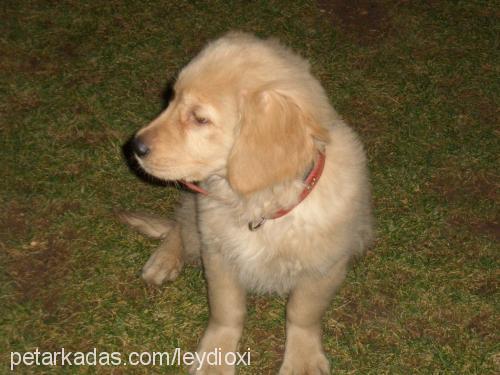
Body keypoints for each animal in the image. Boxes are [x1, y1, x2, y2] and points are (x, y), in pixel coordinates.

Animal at [119, 33, 374, 375]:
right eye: (170, 99)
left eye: (200, 119)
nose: (135, 146)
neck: (260, 207)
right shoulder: (219, 255)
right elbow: (227, 310)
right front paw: (215, 357)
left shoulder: (324, 267)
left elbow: (302, 313)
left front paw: (302, 358)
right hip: (195, 215)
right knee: (180, 226)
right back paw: (164, 260)